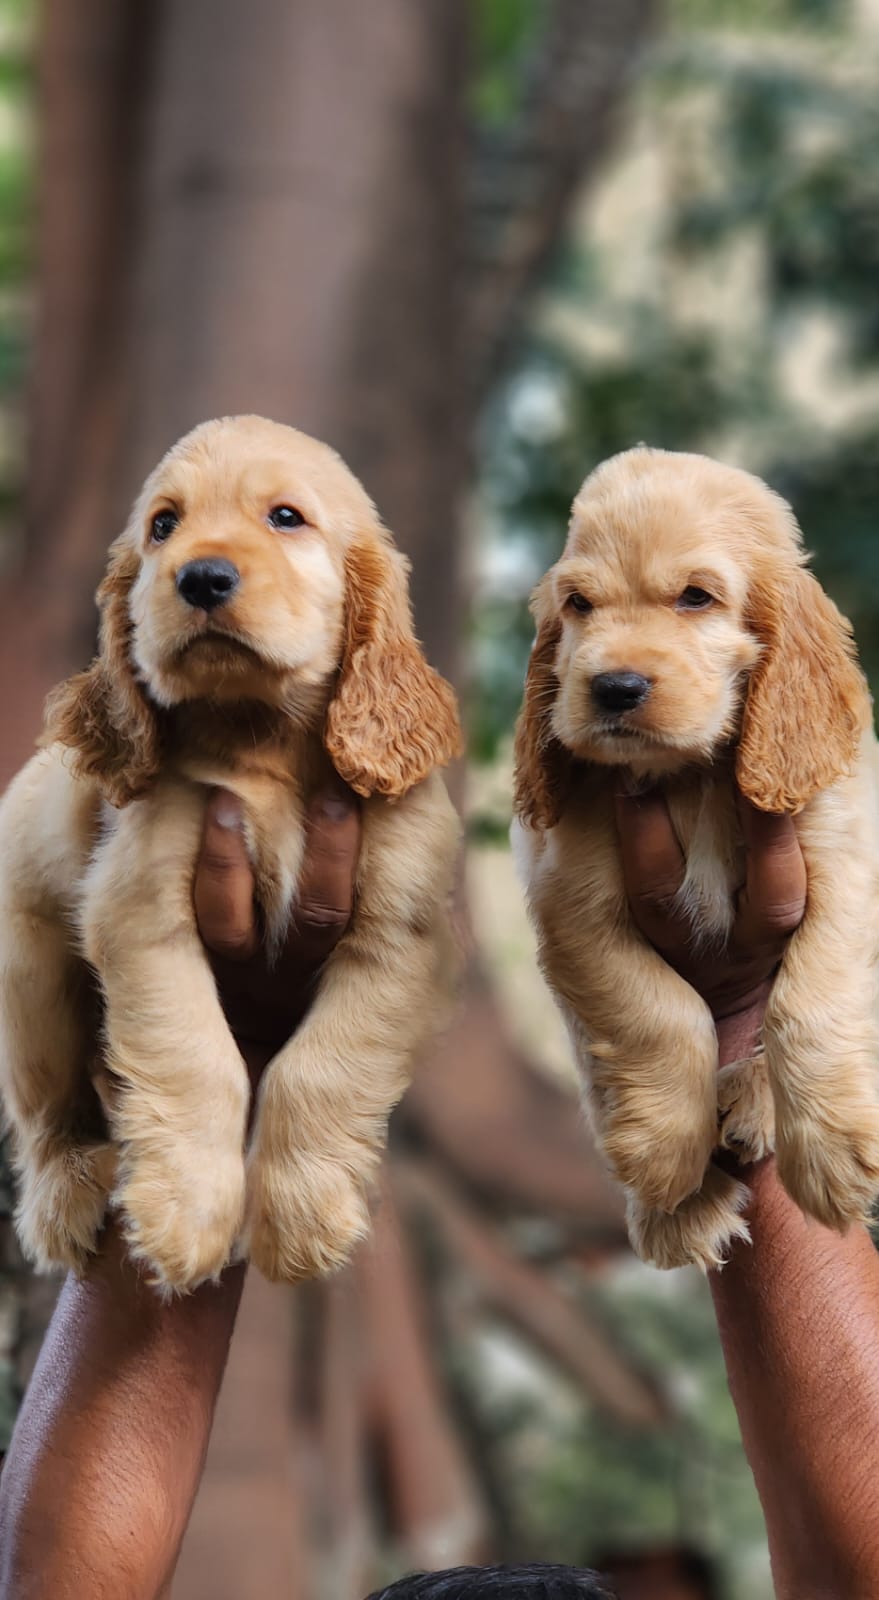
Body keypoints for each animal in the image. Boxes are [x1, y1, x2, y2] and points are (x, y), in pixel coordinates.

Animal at [0, 412, 461, 1286]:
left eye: (285, 518)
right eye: (163, 525)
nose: (201, 578)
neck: (264, 737)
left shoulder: (395, 932)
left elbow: (322, 1066)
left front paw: (301, 1217)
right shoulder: (142, 911)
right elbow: (195, 1055)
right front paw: (185, 1215)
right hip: (30, 977)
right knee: (49, 1113)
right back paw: (69, 1192)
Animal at [509, 444, 877, 1267]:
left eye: (695, 598)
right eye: (578, 605)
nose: (613, 688)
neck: (691, 773)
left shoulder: (848, 867)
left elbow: (811, 997)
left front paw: (834, 1151)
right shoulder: (574, 902)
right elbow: (657, 1011)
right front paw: (663, 1162)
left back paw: (756, 1098)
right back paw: (678, 1207)